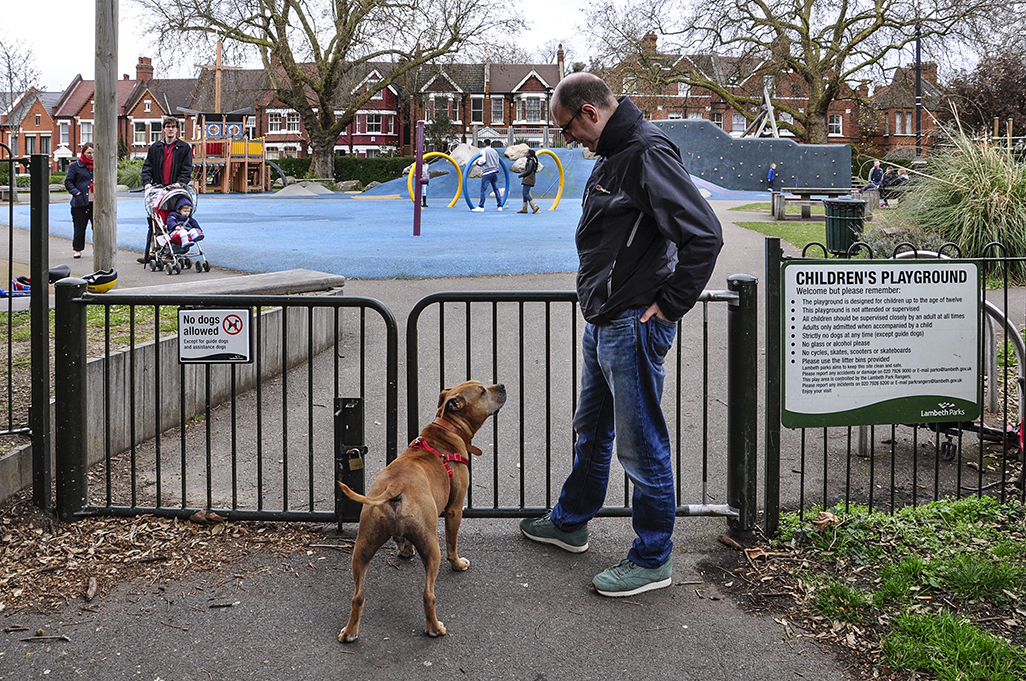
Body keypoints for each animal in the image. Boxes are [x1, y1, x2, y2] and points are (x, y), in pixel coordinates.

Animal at [336, 379, 504, 639]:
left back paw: (349, 632)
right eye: (483, 390)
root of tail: (395, 486)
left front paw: (405, 549)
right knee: (428, 595)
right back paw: (435, 628)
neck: (447, 429)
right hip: (431, 547)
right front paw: (458, 564)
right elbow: (452, 543)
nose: (502, 385)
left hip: (363, 546)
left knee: (358, 596)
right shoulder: (455, 509)